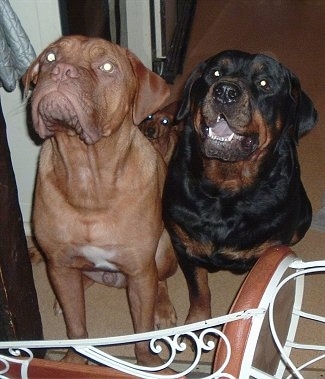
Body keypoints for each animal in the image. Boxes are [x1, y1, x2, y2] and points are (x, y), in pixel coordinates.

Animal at [23, 35, 177, 368]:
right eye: (51, 57)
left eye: (107, 67)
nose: (61, 71)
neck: (88, 176)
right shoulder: (59, 262)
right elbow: (76, 327)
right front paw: (73, 360)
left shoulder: (140, 271)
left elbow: (141, 331)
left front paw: (147, 364)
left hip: (162, 252)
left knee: (160, 282)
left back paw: (164, 308)